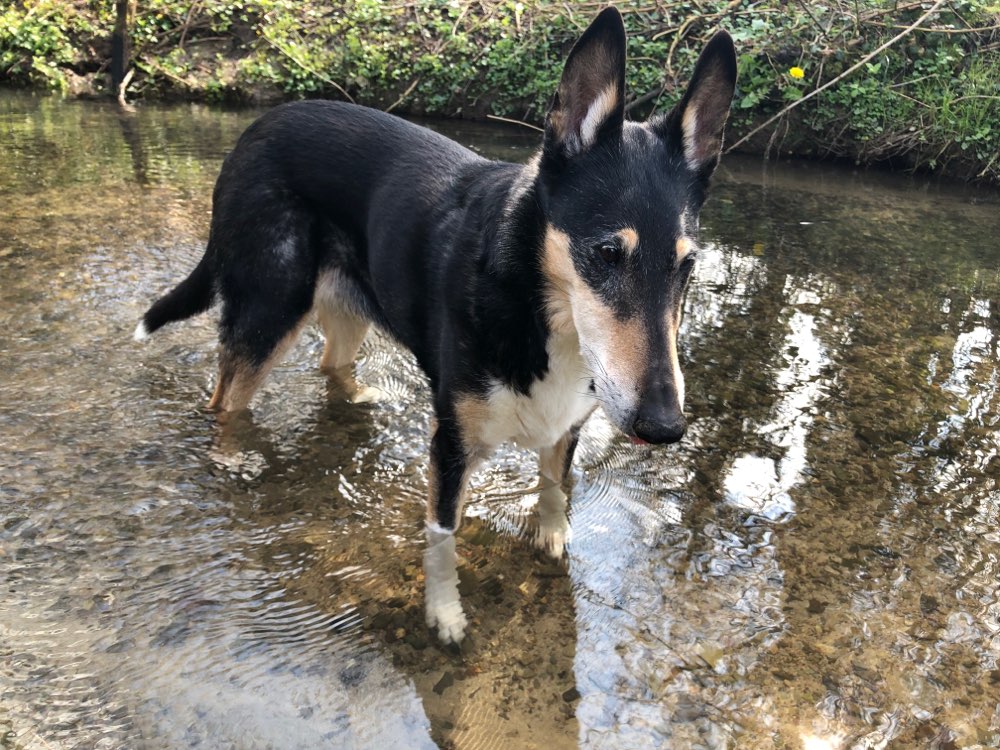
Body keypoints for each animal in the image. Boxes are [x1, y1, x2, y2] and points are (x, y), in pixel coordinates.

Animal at [137, 8, 740, 648]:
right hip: (268, 312)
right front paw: (446, 615)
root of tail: (258, 125)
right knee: (224, 399)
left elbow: (555, 489)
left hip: (349, 308)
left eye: (688, 266)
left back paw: (360, 395)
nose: (665, 427)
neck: (537, 308)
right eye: (606, 254)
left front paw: (552, 538)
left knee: (330, 364)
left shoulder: (564, 428)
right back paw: (231, 461)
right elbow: (442, 537)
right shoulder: (450, 444)